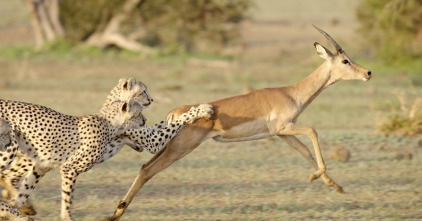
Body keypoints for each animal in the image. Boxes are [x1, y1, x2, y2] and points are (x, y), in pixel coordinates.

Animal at [0, 78, 213, 220]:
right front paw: (201, 109)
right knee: (6, 175)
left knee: (12, 179)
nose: (151, 100)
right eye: (143, 91)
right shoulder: (69, 167)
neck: (109, 119)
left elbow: (24, 191)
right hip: (13, 148)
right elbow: (67, 197)